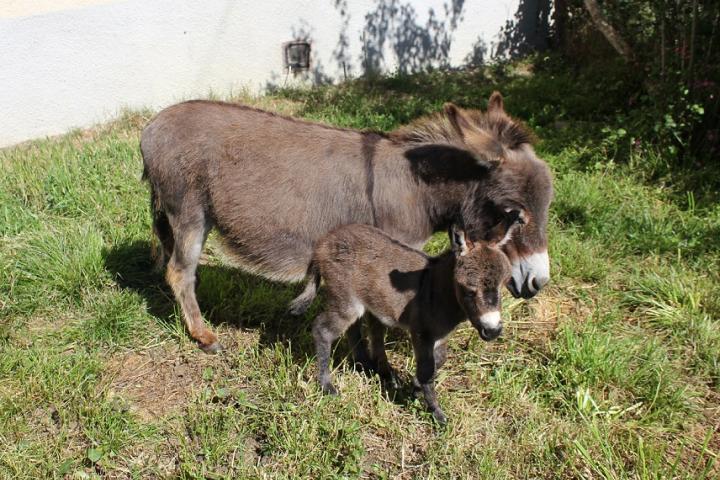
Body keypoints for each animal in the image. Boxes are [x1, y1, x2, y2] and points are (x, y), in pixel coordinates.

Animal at [290, 218, 520, 424]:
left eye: (503, 286)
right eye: (469, 291)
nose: (493, 331)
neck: (436, 290)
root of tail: (324, 242)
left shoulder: (439, 337)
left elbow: (438, 361)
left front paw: (415, 387)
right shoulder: (421, 333)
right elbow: (427, 369)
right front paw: (435, 412)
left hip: (356, 304)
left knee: (353, 330)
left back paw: (367, 367)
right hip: (345, 300)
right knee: (323, 330)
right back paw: (327, 386)